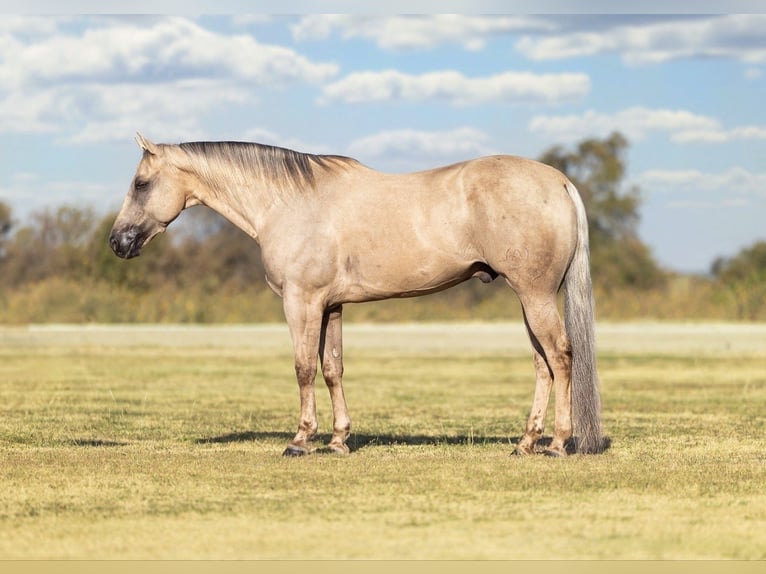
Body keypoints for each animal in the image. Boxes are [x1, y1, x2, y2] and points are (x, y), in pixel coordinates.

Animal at [110, 133, 605, 457]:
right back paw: (525, 442)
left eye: (140, 183)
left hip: (535, 295)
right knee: (542, 364)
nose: (118, 242)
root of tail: (559, 182)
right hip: (528, 298)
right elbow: (333, 369)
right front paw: (338, 439)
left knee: (561, 357)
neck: (289, 203)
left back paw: (558, 444)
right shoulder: (331, 306)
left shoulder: (302, 302)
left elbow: (304, 368)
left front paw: (301, 440)